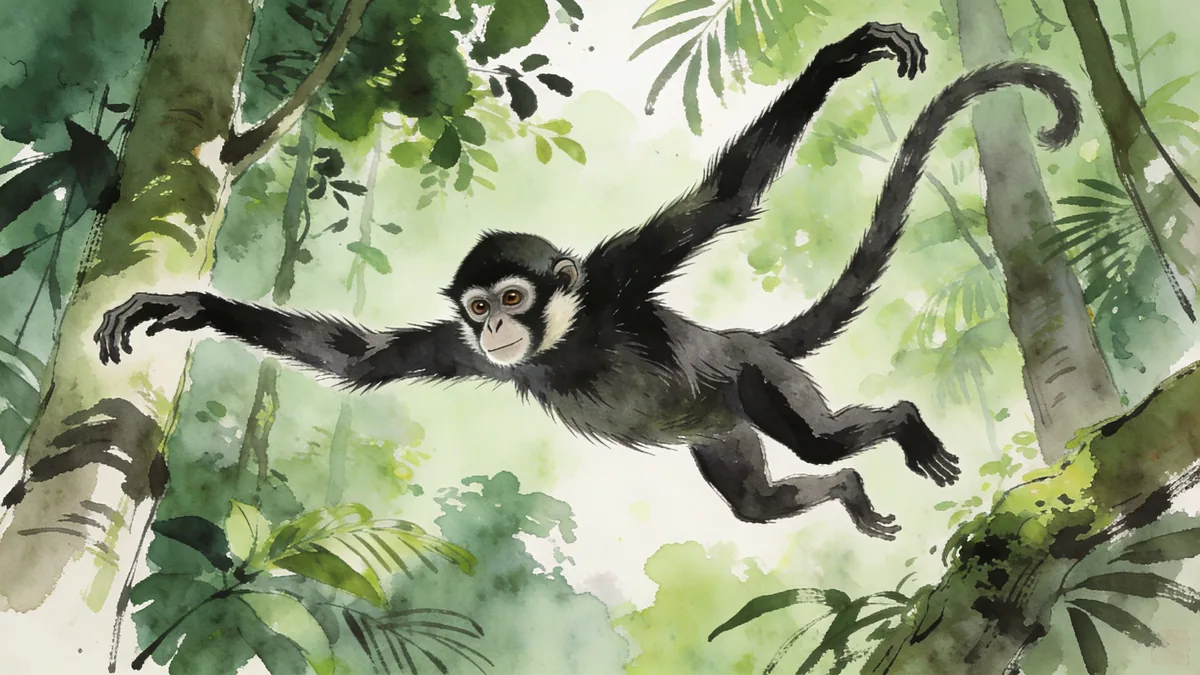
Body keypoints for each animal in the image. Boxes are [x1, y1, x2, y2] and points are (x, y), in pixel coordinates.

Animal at [94, 23, 1081, 539]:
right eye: (480, 308)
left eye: (515, 298)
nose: (498, 328)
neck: (565, 338)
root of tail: (738, 335)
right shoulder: (469, 352)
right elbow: (362, 358)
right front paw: (186, 303)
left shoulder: (618, 273)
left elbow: (729, 196)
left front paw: (838, 59)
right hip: (723, 424)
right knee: (760, 499)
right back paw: (843, 492)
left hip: (754, 377)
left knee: (815, 438)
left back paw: (900, 426)